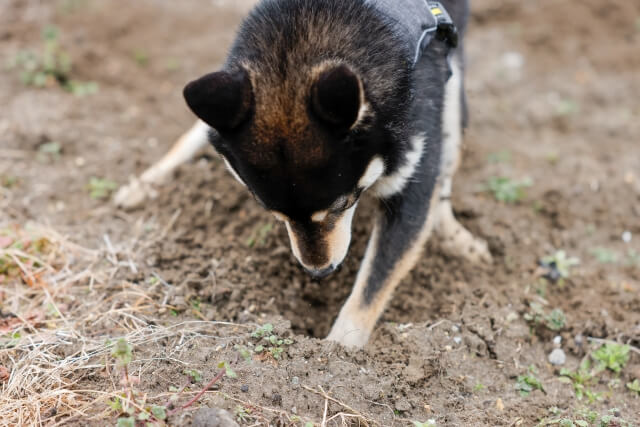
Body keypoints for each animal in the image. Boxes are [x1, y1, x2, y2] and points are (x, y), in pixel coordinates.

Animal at [115, 0, 492, 348]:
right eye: (272, 213)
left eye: (343, 203)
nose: (319, 271)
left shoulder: (411, 180)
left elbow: (372, 284)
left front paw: (340, 349)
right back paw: (145, 183)